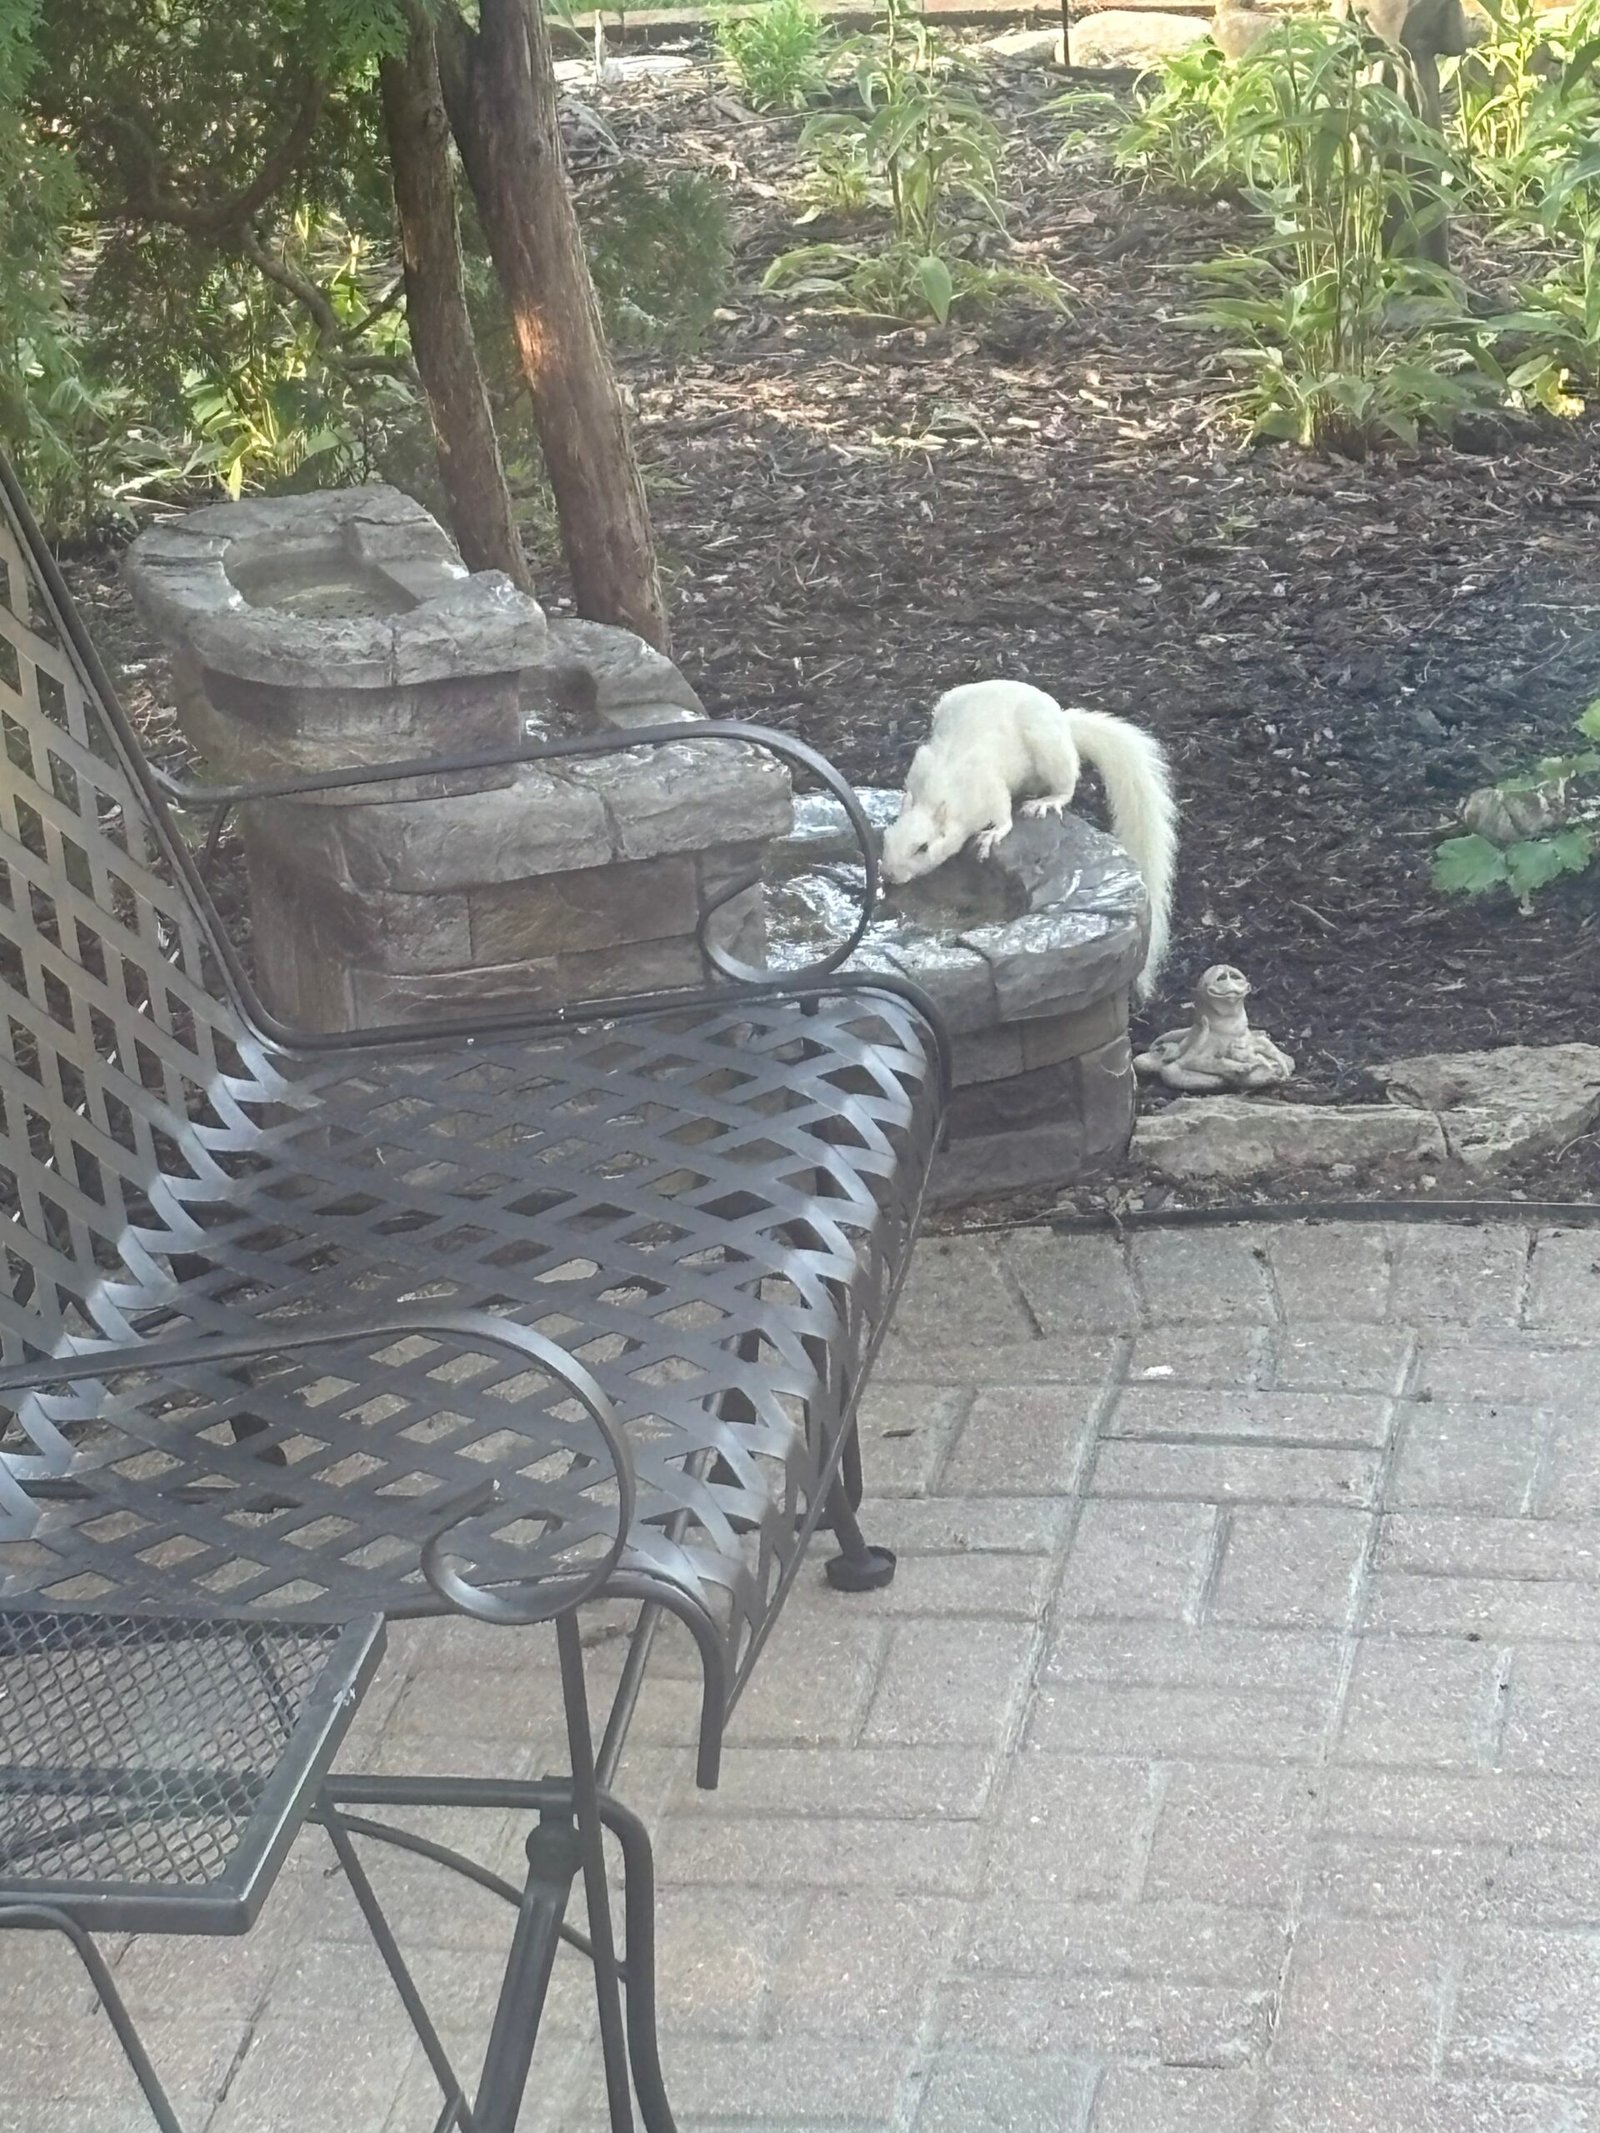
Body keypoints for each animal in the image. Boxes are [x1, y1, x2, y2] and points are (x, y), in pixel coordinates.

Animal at [879, 679, 1178, 1000]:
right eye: (885, 840)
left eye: (922, 848)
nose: (889, 875)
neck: (938, 793)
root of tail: (1063, 723)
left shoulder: (990, 787)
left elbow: (1003, 816)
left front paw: (991, 836)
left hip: (1048, 749)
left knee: (1066, 783)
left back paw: (1046, 801)